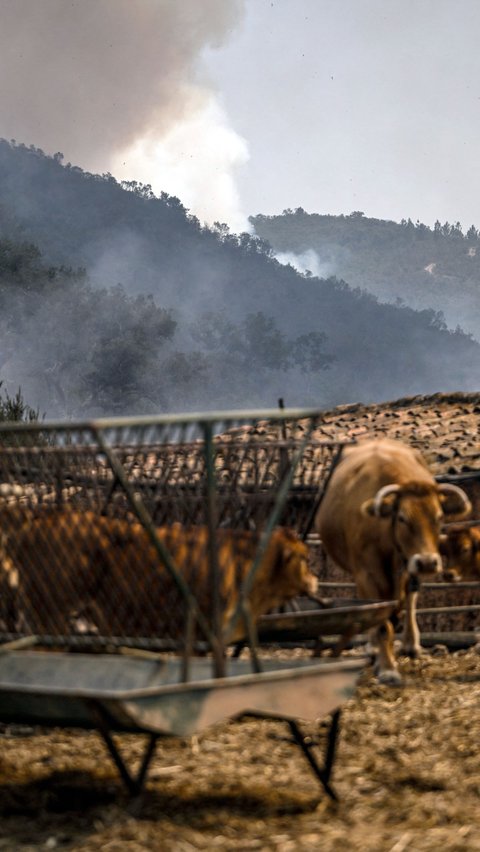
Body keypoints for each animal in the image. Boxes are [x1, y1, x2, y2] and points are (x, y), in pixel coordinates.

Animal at [316, 440, 468, 684]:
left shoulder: (405, 568)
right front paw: (387, 667)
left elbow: (401, 607)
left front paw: (390, 658)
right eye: (403, 518)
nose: (427, 562)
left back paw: (410, 644)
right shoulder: (366, 574)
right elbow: (381, 622)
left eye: (439, 517)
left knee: (410, 600)